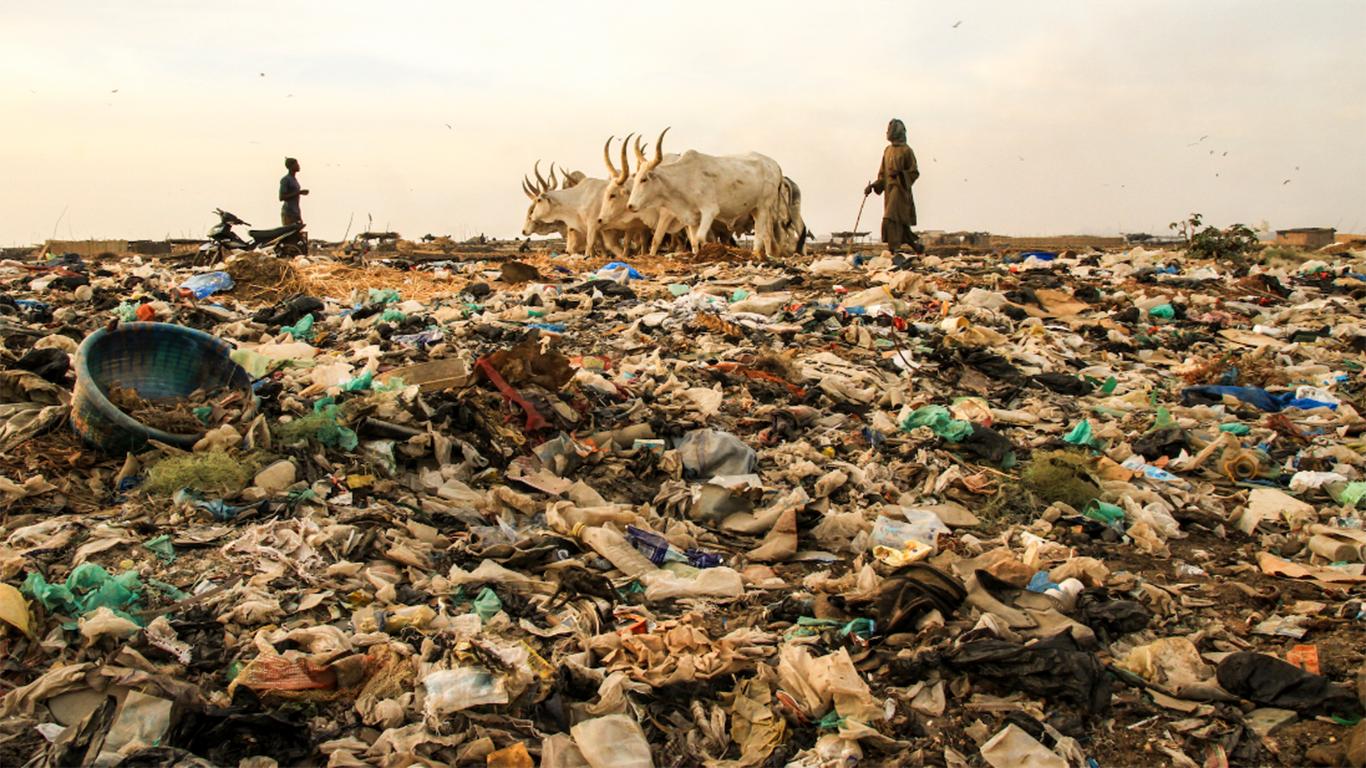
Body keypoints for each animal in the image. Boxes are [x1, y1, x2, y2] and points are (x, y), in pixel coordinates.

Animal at [625, 127, 786, 255]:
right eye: (636, 178)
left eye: (644, 179)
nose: (630, 206)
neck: (685, 178)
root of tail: (774, 164)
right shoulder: (692, 218)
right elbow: (694, 242)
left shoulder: (710, 210)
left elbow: (701, 238)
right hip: (754, 209)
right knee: (764, 235)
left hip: (764, 207)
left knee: (760, 236)